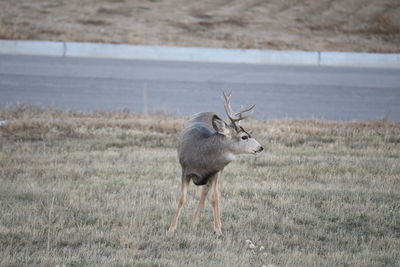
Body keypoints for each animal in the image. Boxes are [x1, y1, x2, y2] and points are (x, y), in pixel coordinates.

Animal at [167, 90, 264, 237]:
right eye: (244, 137)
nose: (260, 147)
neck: (201, 157)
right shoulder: (185, 171)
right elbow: (182, 198)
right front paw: (172, 228)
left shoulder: (215, 172)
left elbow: (214, 198)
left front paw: (218, 230)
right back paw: (194, 222)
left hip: (219, 172)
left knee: (209, 193)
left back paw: (197, 222)